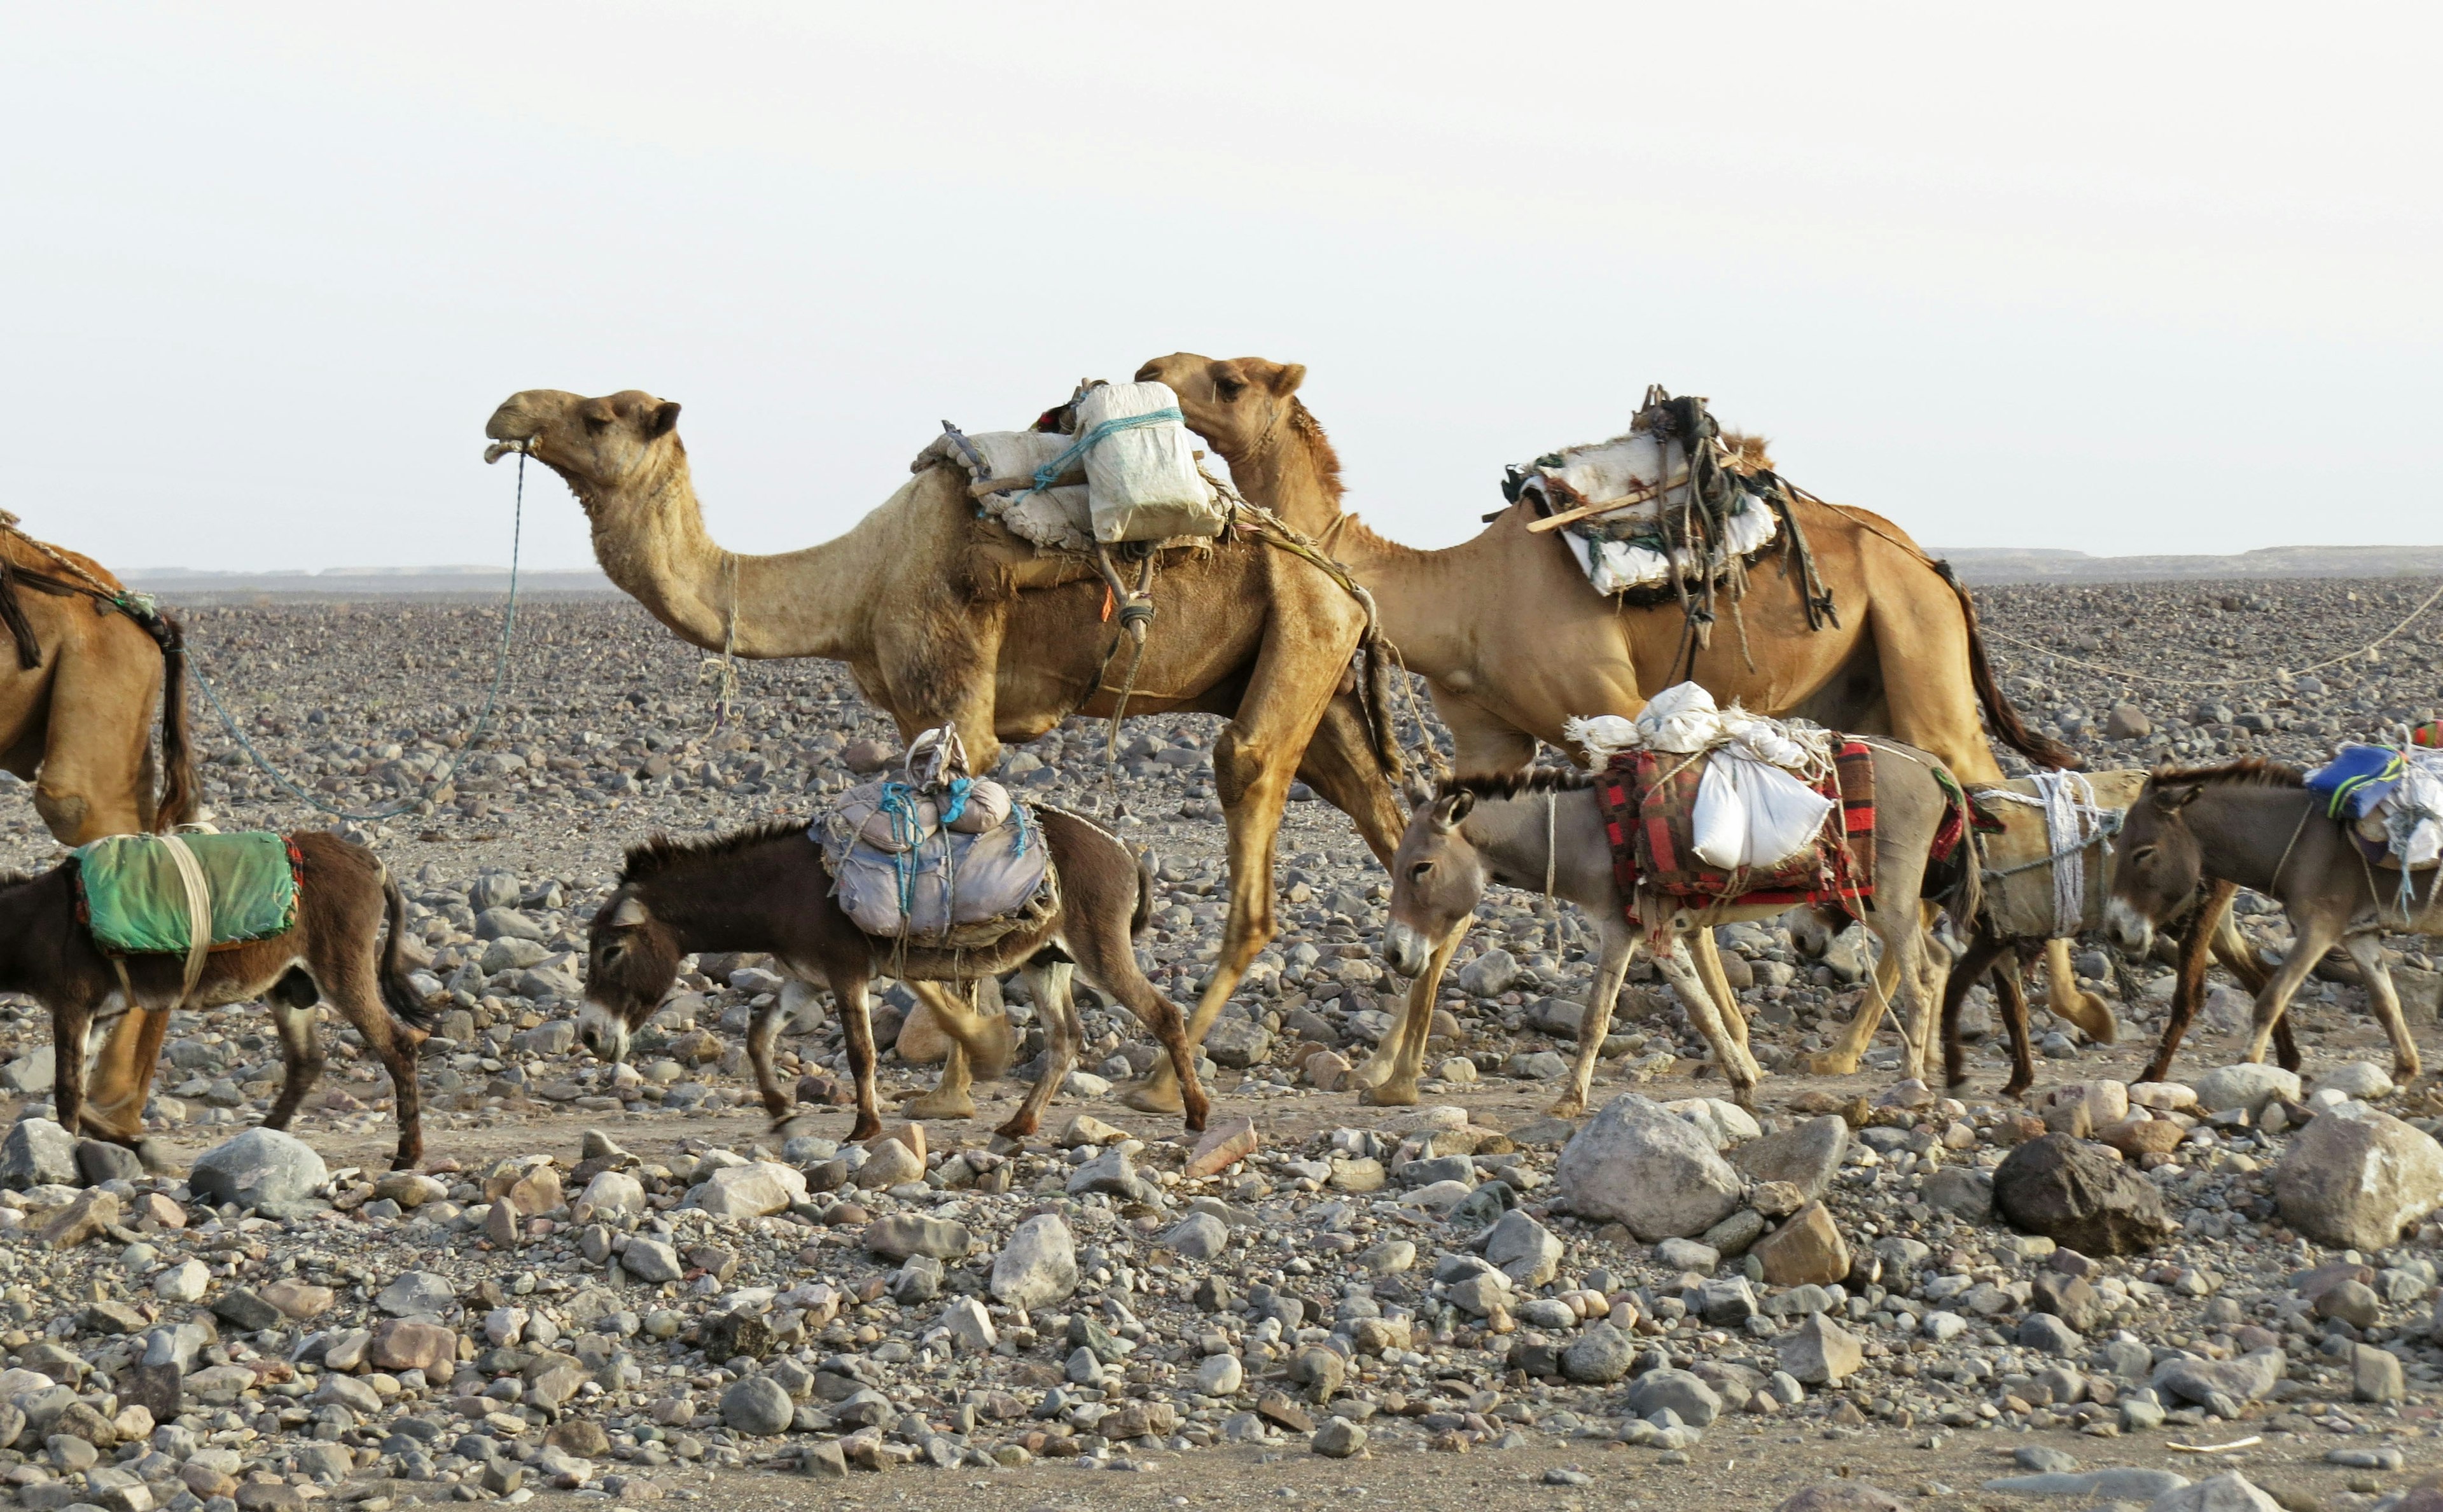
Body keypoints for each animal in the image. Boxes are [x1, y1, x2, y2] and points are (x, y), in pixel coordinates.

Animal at [481, 391, 1417, 1123]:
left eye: (600, 414)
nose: (505, 415)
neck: (856, 585)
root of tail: (1345, 579)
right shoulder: (913, 712)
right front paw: (952, 1086)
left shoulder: (956, 690)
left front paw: (970, 1066)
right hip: (1314, 682)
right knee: (1391, 823)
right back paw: (1392, 1073)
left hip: (1297, 640)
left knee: (1252, 793)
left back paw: (1164, 1086)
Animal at [1133, 349, 2110, 1094]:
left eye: (1228, 379)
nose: (1150, 369)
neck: (1460, 595)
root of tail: (1936, 566)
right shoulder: (1485, 735)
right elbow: (1457, 896)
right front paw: (1388, 1072)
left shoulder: (1618, 700)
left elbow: (1670, 856)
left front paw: (1735, 1044)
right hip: (1858, 688)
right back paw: (1855, 1047)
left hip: (1919, 649)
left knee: (1997, 788)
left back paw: (2067, 1008)